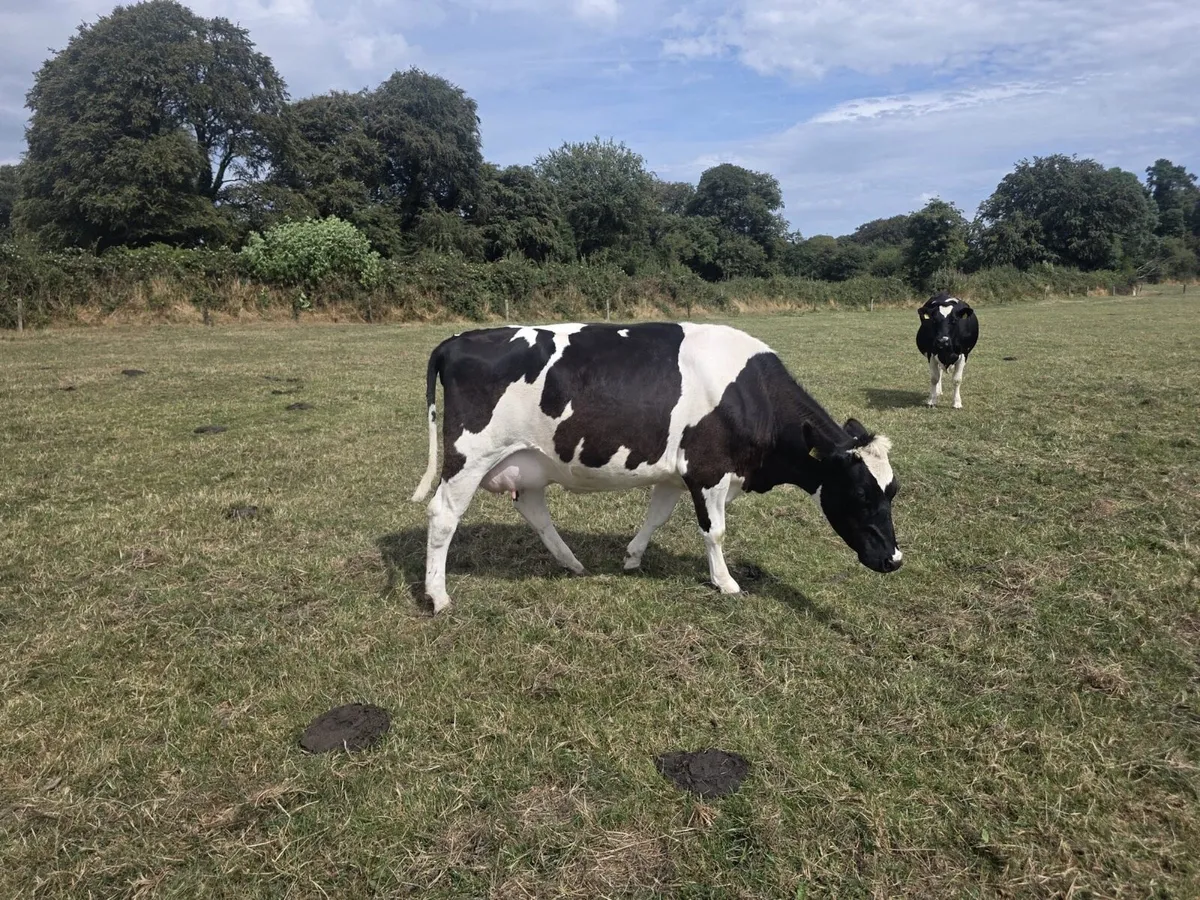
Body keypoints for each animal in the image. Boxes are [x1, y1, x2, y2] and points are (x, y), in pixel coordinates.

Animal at [410, 322, 903, 612]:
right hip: (470, 456)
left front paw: (632, 557)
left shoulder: (676, 472)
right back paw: (438, 595)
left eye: (893, 491)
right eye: (860, 494)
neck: (750, 394)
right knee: (443, 515)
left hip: (527, 460)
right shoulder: (708, 470)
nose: (894, 560)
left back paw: (572, 563)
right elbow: (715, 532)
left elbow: (657, 515)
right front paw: (725, 582)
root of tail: (456, 340)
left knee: (533, 510)